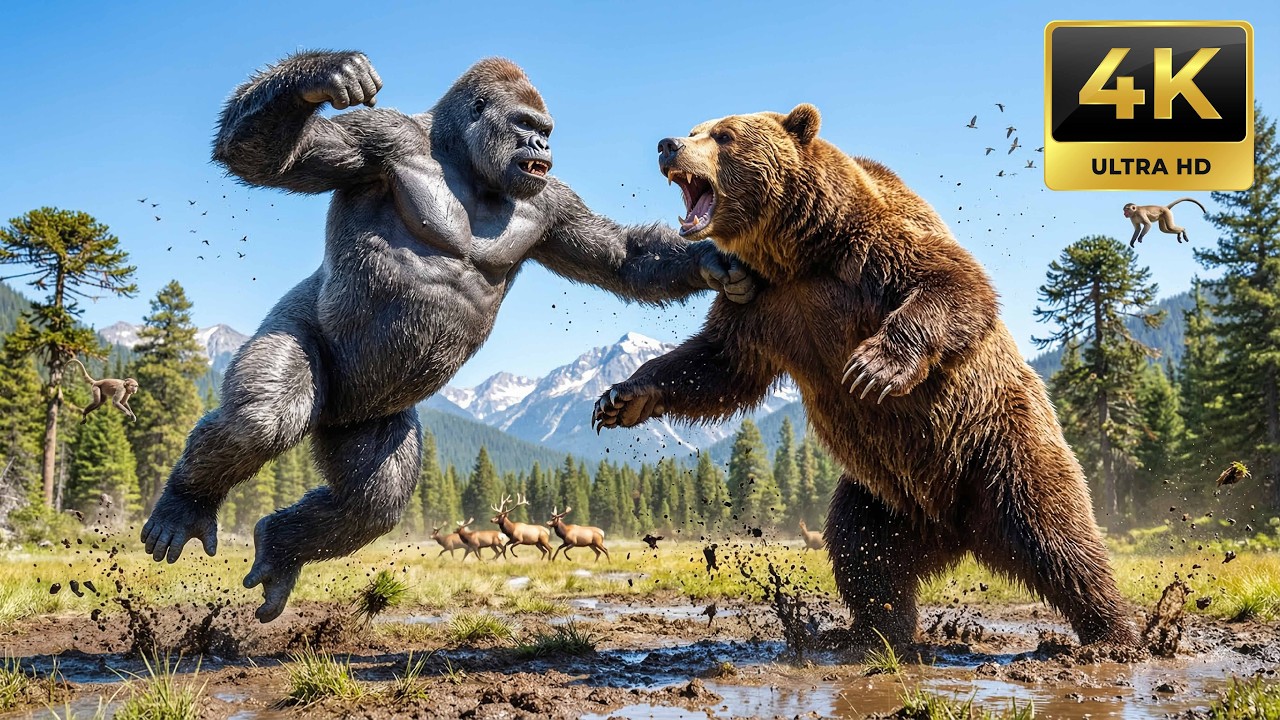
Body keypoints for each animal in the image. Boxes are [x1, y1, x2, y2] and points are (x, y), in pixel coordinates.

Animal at [593, 104, 1138, 648]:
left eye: (723, 135)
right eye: (694, 130)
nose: (668, 145)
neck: (798, 254)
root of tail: (955, 527)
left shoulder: (874, 252)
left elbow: (956, 283)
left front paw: (873, 367)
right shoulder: (757, 301)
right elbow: (718, 365)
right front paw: (620, 397)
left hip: (997, 445)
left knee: (1055, 534)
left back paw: (1116, 632)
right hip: (884, 498)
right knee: (863, 551)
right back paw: (875, 631)